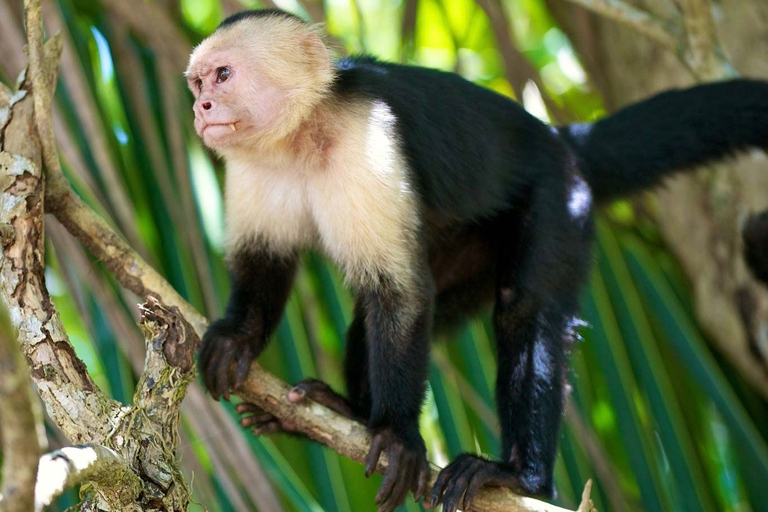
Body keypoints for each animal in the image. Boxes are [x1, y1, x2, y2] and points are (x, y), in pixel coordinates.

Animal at [186, 8, 768, 512]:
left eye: (223, 75)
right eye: (196, 83)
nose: (200, 109)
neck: (301, 134)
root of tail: (558, 140)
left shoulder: (367, 142)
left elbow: (400, 292)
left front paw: (396, 434)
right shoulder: (253, 166)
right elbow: (267, 262)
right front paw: (238, 339)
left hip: (560, 199)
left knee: (524, 310)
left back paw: (520, 476)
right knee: (381, 316)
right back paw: (348, 412)